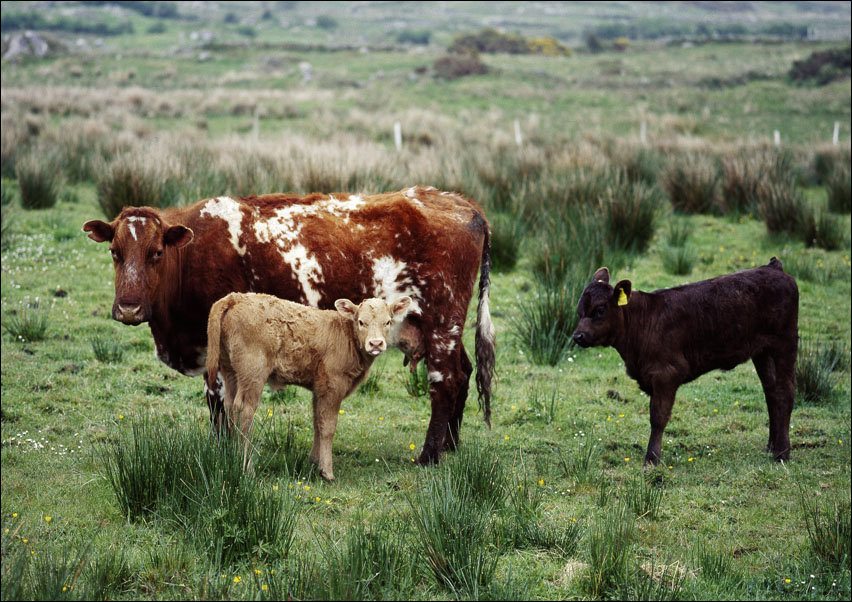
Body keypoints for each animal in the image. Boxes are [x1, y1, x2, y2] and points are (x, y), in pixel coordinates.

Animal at [206, 292, 412, 479]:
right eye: (361, 322)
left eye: (388, 322)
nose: (376, 343)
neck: (347, 336)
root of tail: (235, 297)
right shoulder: (333, 384)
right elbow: (328, 426)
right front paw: (326, 471)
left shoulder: (319, 387)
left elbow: (317, 422)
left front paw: (313, 460)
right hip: (252, 374)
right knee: (244, 410)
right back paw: (245, 466)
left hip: (230, 371)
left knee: (229, 406)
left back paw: (231, 456)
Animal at [572, 258, 798, 466]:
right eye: (579, 311)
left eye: (600, 310)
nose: (578, 336)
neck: (642, 323)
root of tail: (773, 267)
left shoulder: (666, 374)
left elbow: (658, 417)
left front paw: (651, 459)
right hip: (763, 352)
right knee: (771, 393)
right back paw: (771, 446)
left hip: (785, 344)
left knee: (785, 391)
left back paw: (781, 454)